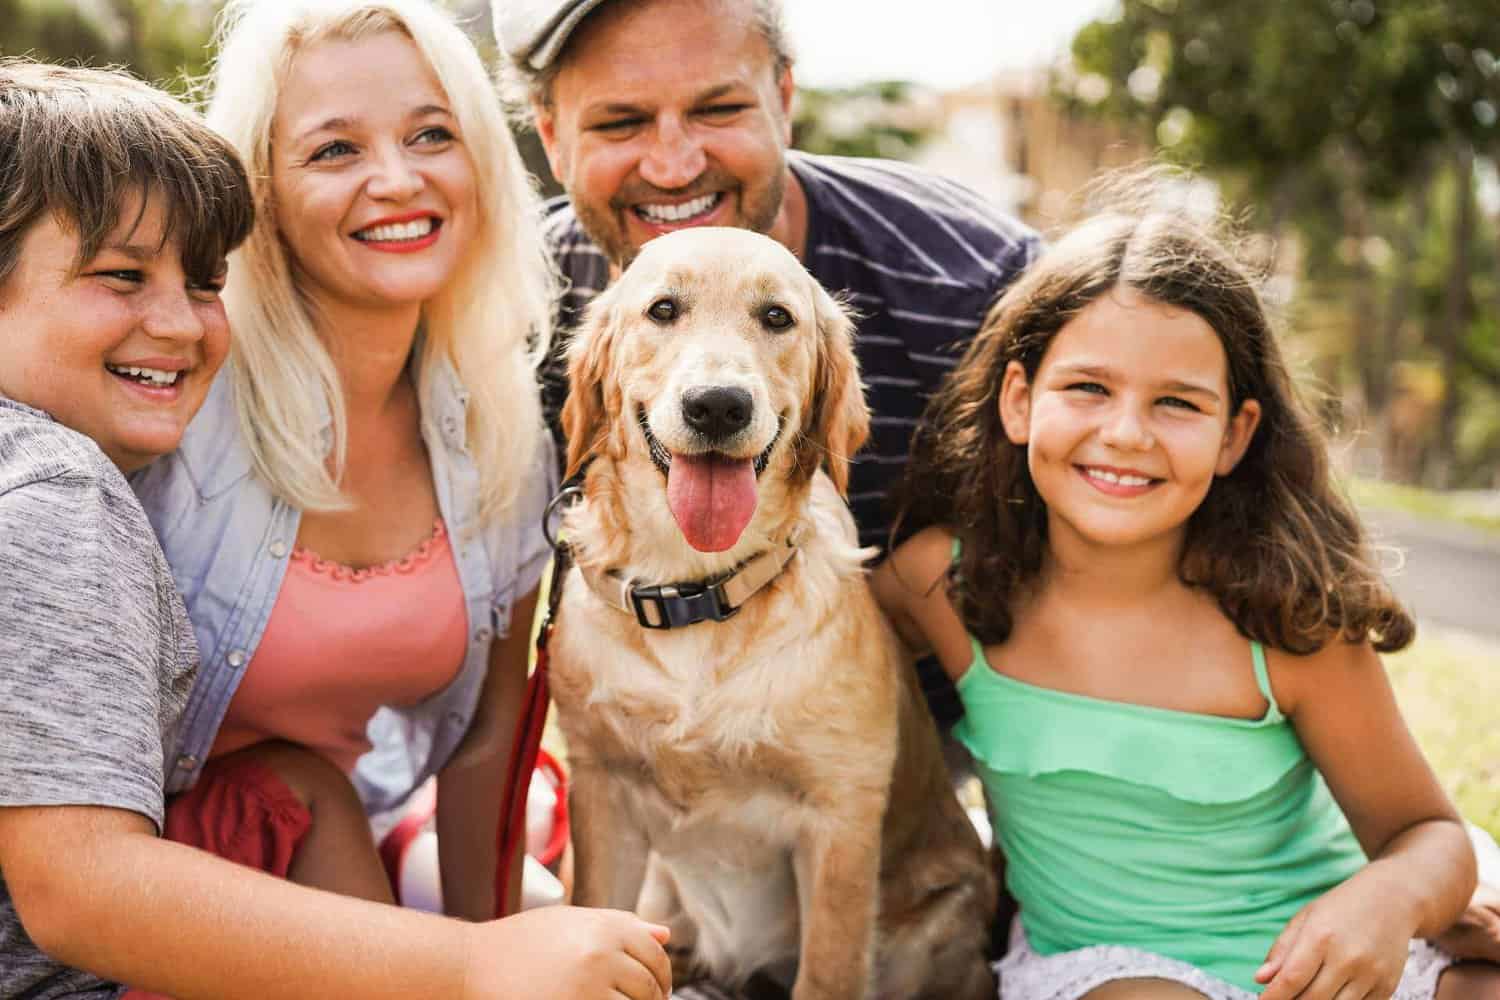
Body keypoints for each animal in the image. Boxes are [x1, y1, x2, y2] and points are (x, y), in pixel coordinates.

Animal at [552, 229, 996, 1000]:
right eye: (662, 309)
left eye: (777, 318)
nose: (717, 406)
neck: (697, 595)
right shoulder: (602, 795)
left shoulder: (840, 823)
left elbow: (827, 973)